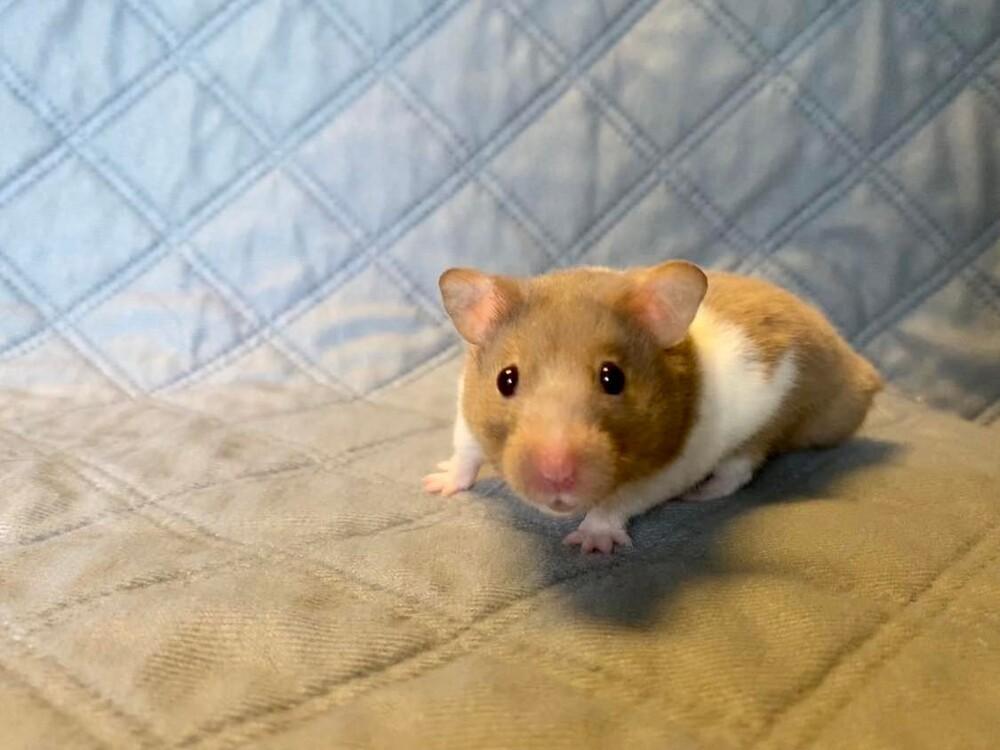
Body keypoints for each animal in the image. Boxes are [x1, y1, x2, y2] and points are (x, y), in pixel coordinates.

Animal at [423, 261, 882, 553]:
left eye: (613, 378)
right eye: (506, 379)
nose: (557, 478)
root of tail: (858, 369)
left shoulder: (667, 472)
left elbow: (617, 503)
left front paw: (591, 543)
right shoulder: (467, 409)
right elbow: (465, 451)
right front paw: (436, 484)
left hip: (769, 423)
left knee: (737, 473)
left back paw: (699, 496)